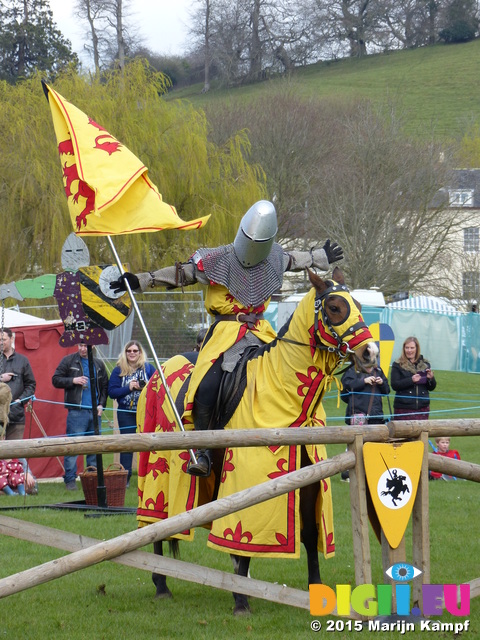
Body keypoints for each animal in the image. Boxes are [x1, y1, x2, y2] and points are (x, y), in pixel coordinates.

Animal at [136, 266, 378, 616]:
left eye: (357, 304)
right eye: (334, 307)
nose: (370, 353)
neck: (279, 388)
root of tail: (159, 369)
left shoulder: (309, 480)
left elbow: (308, 532)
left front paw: (314, 591)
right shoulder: (247, 481)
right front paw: (241, 600)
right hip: (157, 472)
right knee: (156, 523)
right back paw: (161, 583)